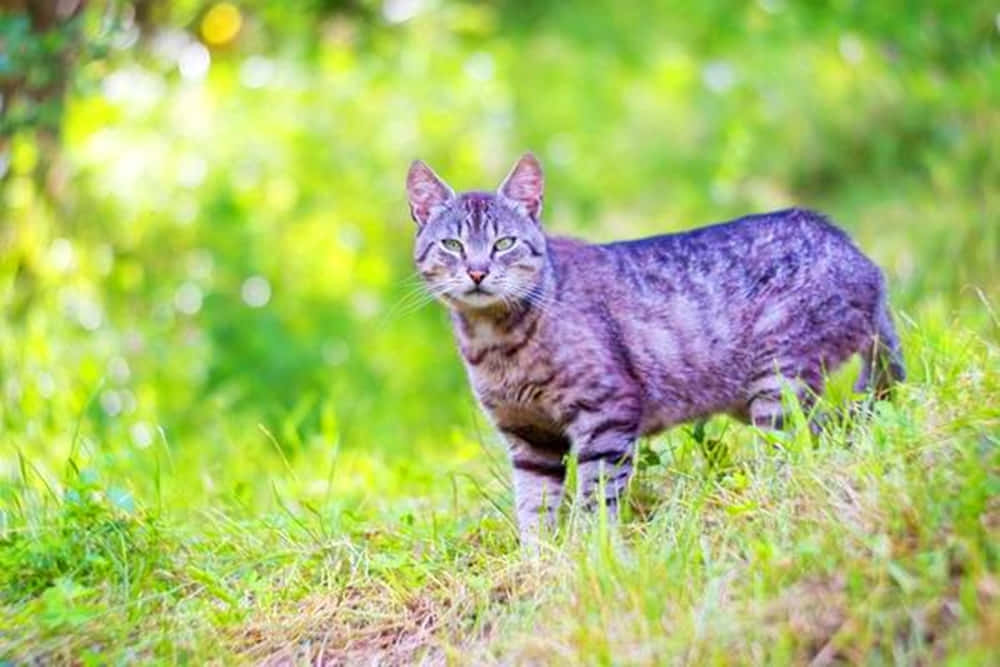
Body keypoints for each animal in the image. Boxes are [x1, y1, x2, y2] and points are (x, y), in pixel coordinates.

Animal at [404, 154, 908, 544]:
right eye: (452, 244)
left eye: (504, 243)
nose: (477, 271)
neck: (495, 343)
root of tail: (861, 256)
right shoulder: (528, 438)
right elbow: (534, 510)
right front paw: (539, 564)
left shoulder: (606, 414)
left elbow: (595, 497)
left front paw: (593, 553)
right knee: (830, 433)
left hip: (779, 382)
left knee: (800, 453)